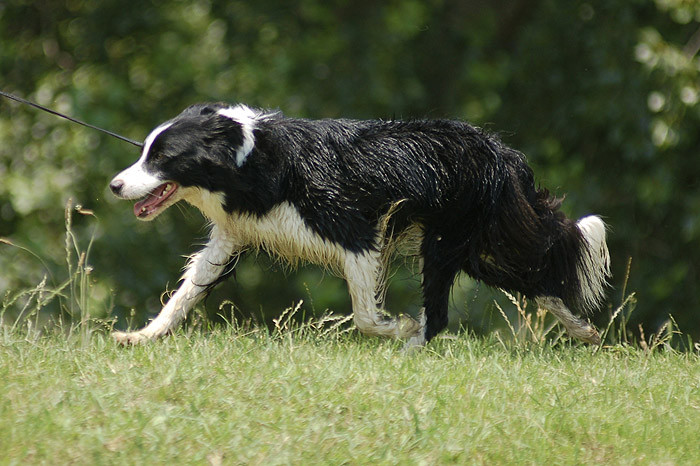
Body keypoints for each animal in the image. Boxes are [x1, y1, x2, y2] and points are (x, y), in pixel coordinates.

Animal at [109, 102, 610, 347]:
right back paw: (584, 332)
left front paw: (399, 328)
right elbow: (185, 293)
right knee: (537, 283)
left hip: (445, 242)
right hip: (473, 249)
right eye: (144, 151)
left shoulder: (356, 234)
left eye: (161, 157)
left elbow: (366, 316)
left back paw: (410, 348)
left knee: (442, 314)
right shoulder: (231, 237)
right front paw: (141, 337)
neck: (248, 158)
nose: (114, 185)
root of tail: (500, 153)